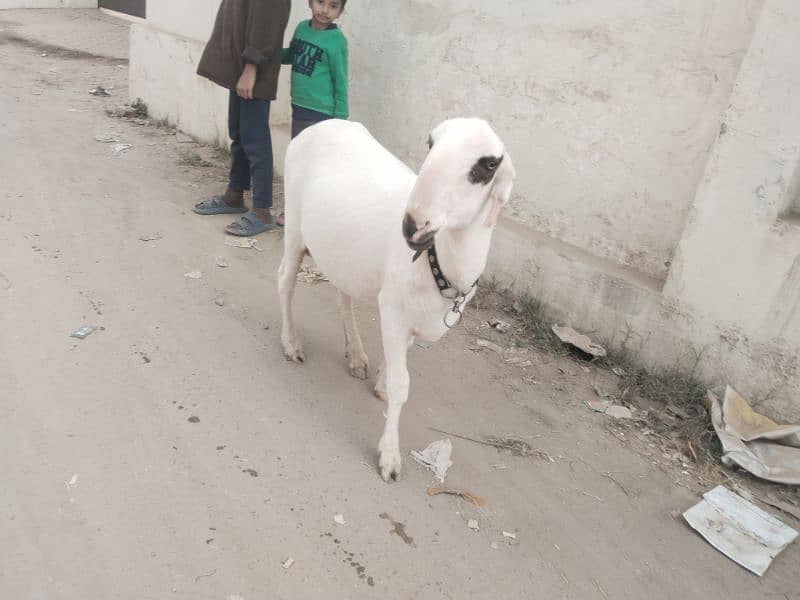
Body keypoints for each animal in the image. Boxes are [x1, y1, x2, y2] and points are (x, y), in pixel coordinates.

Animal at [278, 118, 516, 482]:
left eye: (488, 165)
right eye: (430, 143)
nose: (412, 225)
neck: (439, 262)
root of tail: (324, 122)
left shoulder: (411, 320)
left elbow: (396, 365)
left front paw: (380, 384)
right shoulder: (392, 309)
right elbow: (402, 384)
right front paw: (389, 456)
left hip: (343, 253)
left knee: (343, 295)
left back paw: (356, 354)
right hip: (293, 225)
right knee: (285, 282)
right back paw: (291, 344)